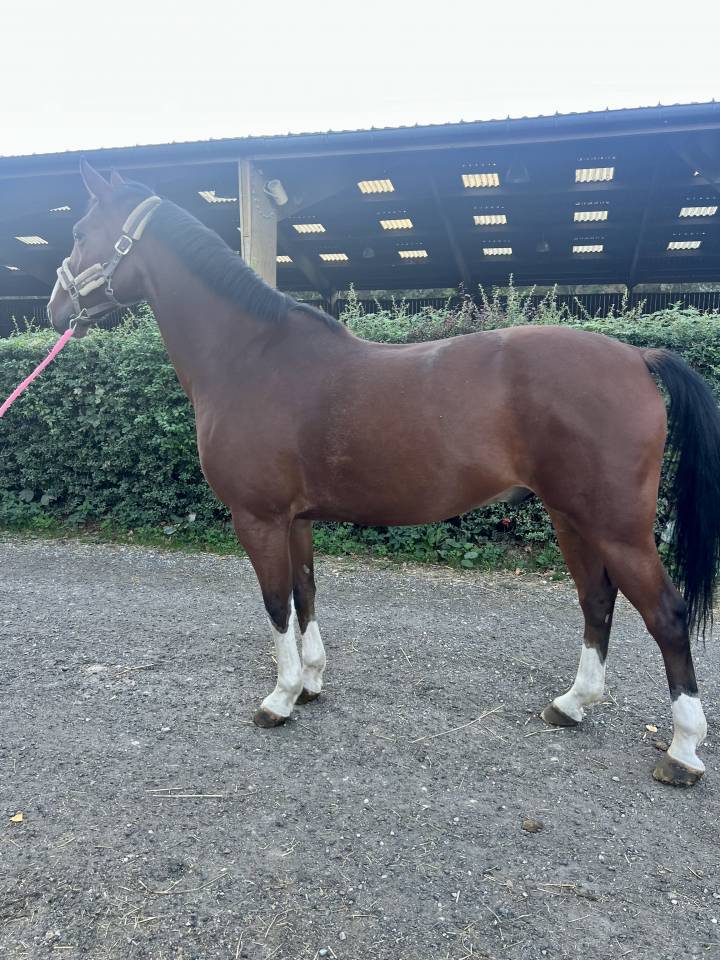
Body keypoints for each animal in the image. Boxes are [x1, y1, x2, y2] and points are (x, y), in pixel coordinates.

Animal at [48, 160, 720, 788]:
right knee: (597, 600)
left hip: (616, 525)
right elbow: (305, 593)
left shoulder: (257, 517)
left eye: (79, 232)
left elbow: (275, 602)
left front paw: (280, 698)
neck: (251, 357)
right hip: (570, 516)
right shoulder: (296, 519)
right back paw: (573, 704)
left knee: (665, 614)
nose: (55, 308)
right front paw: (311, 683)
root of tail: (635, 356)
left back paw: (683, 751)